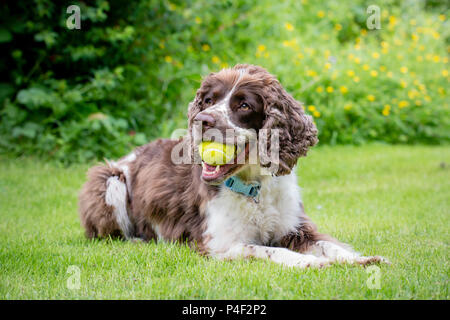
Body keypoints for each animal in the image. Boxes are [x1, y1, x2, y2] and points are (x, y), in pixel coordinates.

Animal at [79, 63, 388, 268]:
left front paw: (361, 259)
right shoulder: (220, 244)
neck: (254, 187)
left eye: (244, 106)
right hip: (109, 180)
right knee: (105, 234)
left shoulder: (295, 227)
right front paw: (308, 262)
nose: (201, 120)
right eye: (208, 100)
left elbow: (328, 245)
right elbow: (266, 250)